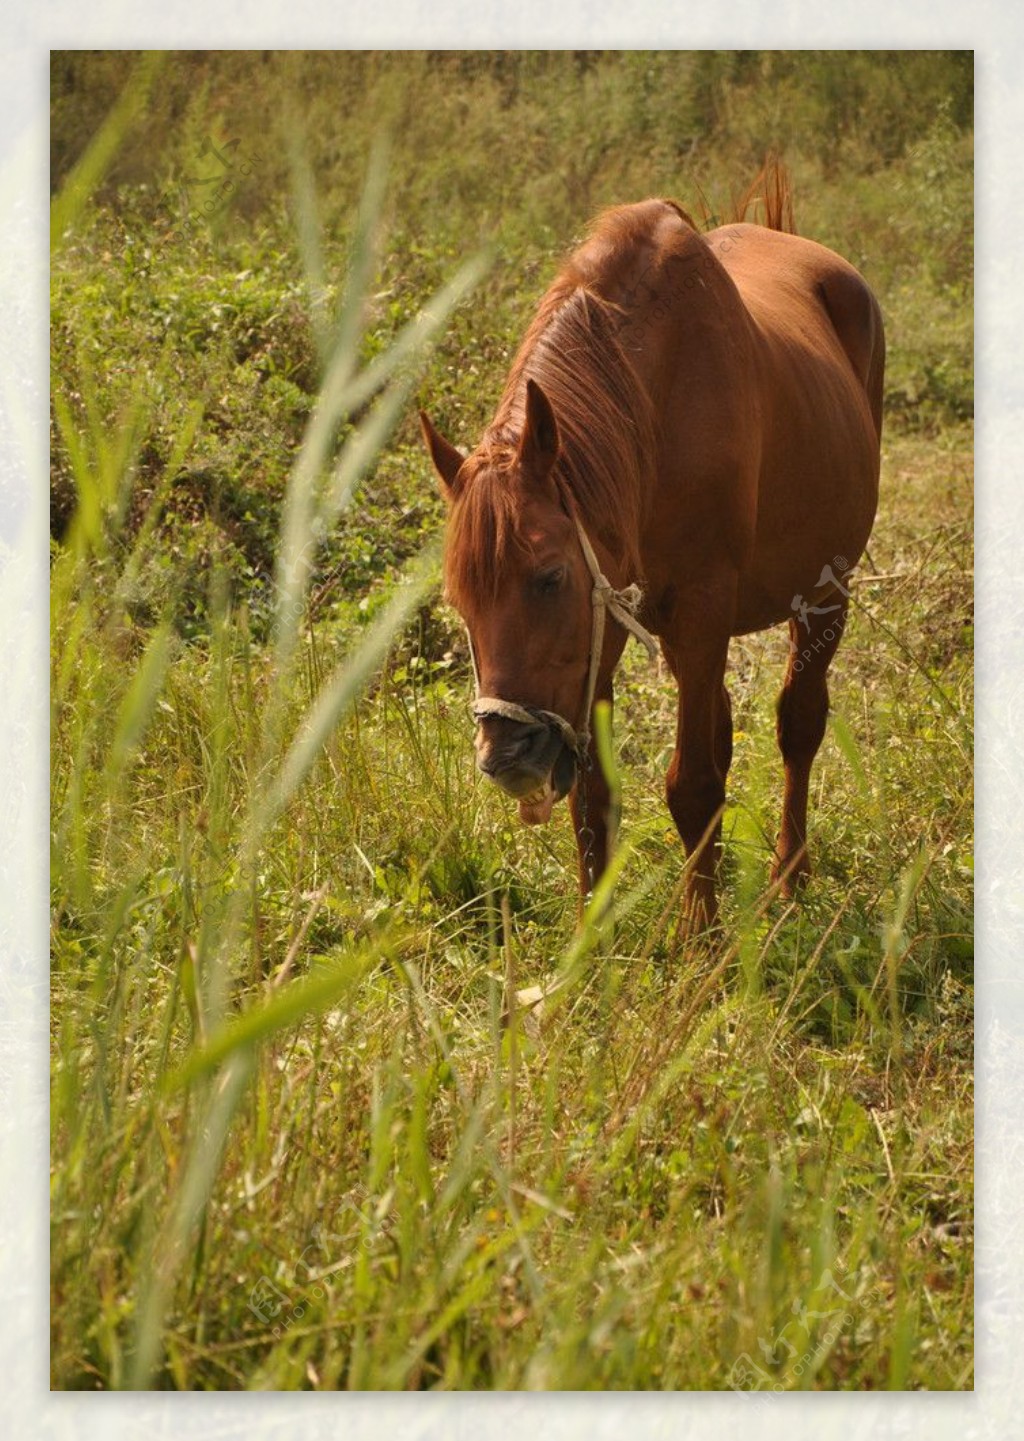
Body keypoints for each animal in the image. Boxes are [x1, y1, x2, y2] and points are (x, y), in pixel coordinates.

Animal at [420, 171, 887, 933]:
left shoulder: (699, 611)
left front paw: (701, 937)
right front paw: (594, 940)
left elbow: (692, 784)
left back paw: (790, 875)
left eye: (549, 576)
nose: (506, 755)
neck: (658, 402)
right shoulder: (603, 636)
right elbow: (595, 795)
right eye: (459, 599)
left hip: (824, 595)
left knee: (799, 725)